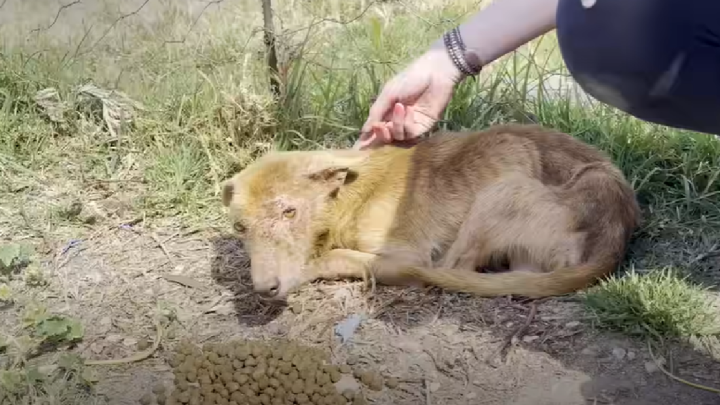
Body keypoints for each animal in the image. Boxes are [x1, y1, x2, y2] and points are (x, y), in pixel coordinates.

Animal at [221, 124, 640, 302]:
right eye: (240, 227)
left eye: (289, 212)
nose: (264, 289)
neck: (350, 195)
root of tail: (616, 230)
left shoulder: (406, 254)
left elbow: (334, 256)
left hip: (501, 192)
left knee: (454, 269)